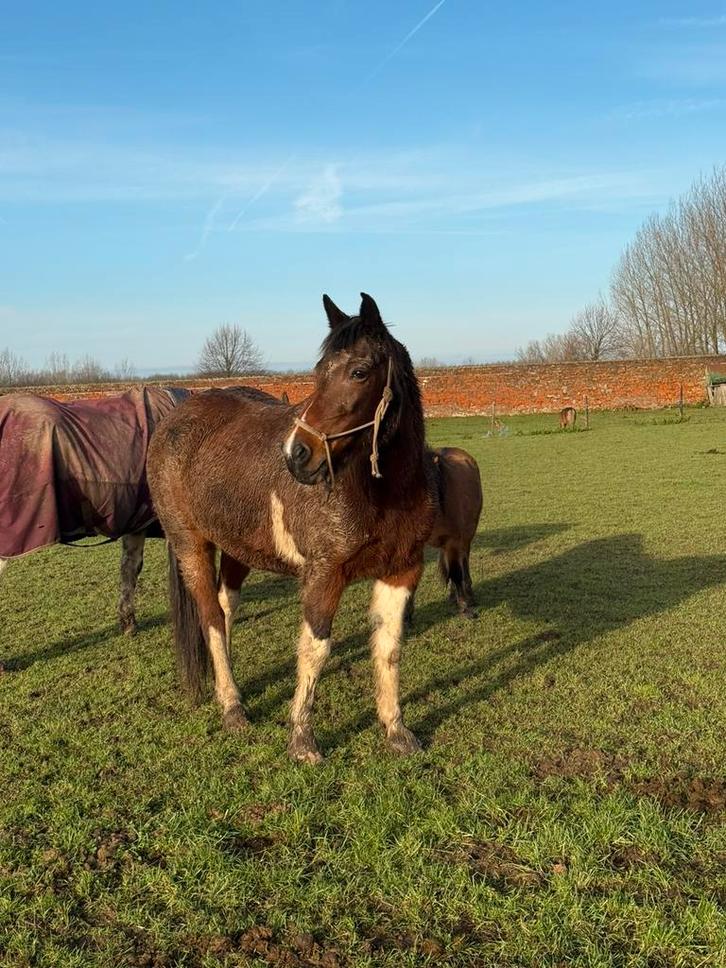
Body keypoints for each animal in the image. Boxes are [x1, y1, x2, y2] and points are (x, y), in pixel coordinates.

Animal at [147, 293, 436, 763]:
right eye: (319, 372)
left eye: (359, 372)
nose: (298, 454)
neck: (383, 492)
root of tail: (174, 419)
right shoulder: (323, 575)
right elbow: (315, 650)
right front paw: (302, 739)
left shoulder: (402, 571)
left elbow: (389, 648)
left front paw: (396, 730)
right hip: (191, 545)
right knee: (211, 618)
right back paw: (232, 707)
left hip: (237, 549)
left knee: (226, 610)